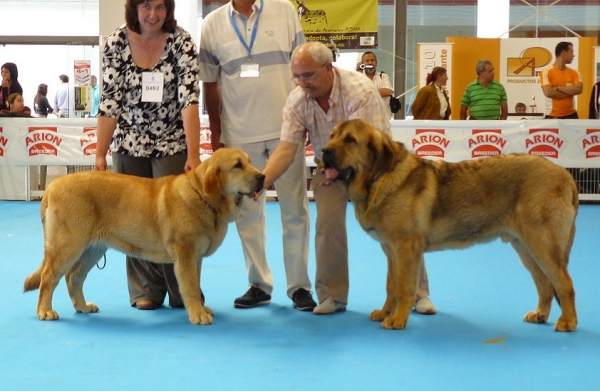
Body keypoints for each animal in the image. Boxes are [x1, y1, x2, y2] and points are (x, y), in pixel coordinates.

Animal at [24, 149, 262, 326]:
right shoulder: (185, 254)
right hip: (68, 245)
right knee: (48, 277)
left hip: (93, 249)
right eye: (238, 165)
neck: (203, 195)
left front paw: (200, 309)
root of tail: (52, 187)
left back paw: (83, 307)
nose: (262, 176)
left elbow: (196, 283)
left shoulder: (196, 258)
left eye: (250, 162)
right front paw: (198, 314)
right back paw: (45, 311)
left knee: (73, 277)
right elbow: (191, 287)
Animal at [322, 118, 580, 330]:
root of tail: (566, 176)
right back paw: (540, 315)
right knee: (545, 284)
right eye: (331, 135)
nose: (323, 151)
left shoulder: (406, 248)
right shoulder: (391, 251)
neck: (379, 178)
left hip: (543, 244)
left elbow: (404, 288)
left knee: (564, 282)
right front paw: (386, 312)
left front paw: (397, 320)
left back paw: (568, 322)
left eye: (350, 140)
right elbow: (391, 286)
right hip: (525, 247)